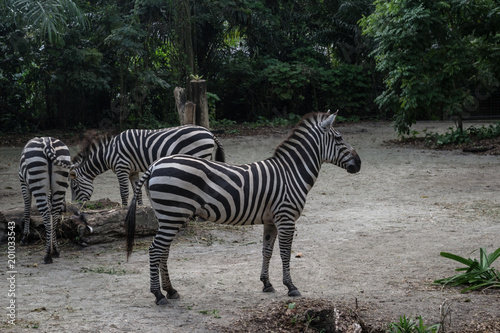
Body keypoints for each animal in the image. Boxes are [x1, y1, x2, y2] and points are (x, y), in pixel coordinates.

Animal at [18, 136, 72, 264]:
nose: (65, 208)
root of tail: (47, 142)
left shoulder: (23, 182)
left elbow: (27, 210)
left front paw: (25, 237)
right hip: (60, 182)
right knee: (54, 215)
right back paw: (55, 251)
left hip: (37, 182)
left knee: (46, 215)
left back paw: (47, 255)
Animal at [69, 124, 226, 205]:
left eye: (74, 187)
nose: (77, 206)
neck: (109, 153)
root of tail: (209, 133)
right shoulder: (133, 171)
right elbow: (136, 191)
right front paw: (140, 209)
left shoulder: (122, 168)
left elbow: (124, 192)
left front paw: (123, 210)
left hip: (199, 155)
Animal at [124, 111, 360, 304]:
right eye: (339, 138)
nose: (359, 164)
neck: (291, 173)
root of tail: (155, 164)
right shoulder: (286, 218)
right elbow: (285, 253)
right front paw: (291, 286)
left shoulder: (271, 220)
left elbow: (267, 251)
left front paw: (267, 283)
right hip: (172, 214)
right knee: (155, 250)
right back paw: (158, 295)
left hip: (168, 216)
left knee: (163, 251)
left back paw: (171, 290)